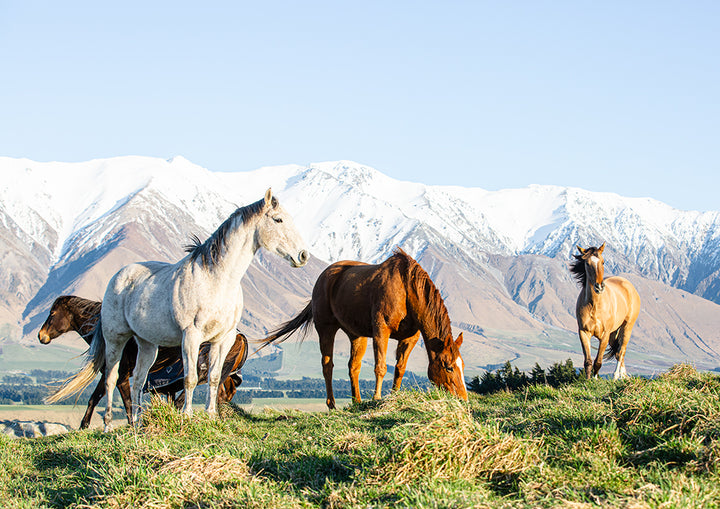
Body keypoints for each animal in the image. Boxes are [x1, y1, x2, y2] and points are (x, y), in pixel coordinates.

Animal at [38, 295, 248, 429]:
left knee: (193, 394)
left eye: (52, 314)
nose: (41, 336)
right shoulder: (110, 371)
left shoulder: (122, 374)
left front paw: (132, 424)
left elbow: (127, 402)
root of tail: (238, 336)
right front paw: (84, 425)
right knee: (222, 393)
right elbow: (95, 397)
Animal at [264, 247, 468, 409]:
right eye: (449, 367)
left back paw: (357, 401)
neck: (406, 289)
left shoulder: (410, 338)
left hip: (356, 335)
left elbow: (399, 368)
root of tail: (323, 277)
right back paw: (332, 404)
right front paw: (377, 398)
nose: (463, 399)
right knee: (327, 365)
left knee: (353, 366)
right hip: (326, 329)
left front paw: (395, 396)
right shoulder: (381, 331)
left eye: (462, 365)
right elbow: (381, 366)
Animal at [571, 243, 641, 380]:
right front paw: (587, 381)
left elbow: (598, 362)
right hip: (614, 333)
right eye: (587, 263)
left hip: (627, 326)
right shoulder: (584, 332)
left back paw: (615, 377)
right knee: (618, 352)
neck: (594, 306)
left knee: (621, 351)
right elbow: (588, 361)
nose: (599, 286)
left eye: (603, 262)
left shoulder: (604, 335)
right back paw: (623, 376)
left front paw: (595, 379)